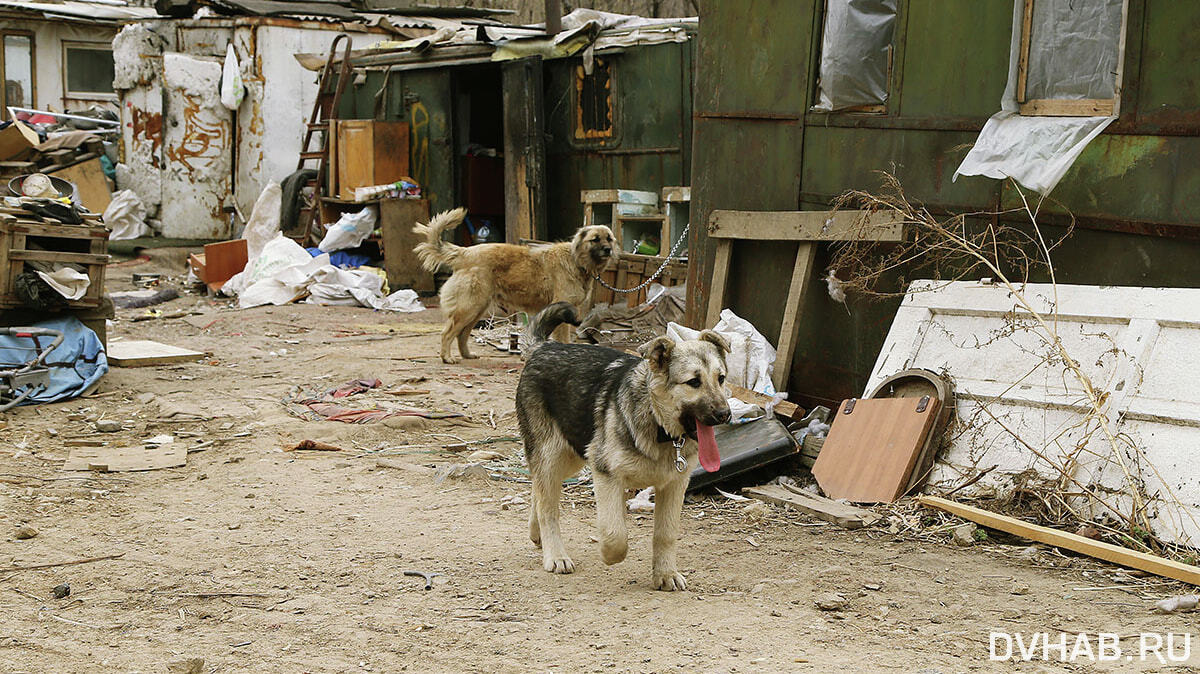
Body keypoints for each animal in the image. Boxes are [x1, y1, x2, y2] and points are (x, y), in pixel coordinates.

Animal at [412, 207, 619, 362]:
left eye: (609, 238)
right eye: (595, 239)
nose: (608, 250)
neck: (576, 261)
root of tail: (465, 252)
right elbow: (563, 338)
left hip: (477, 309)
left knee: (462, 334)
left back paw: (467, 355)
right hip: (469, 307)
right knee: (447, 333)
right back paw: (447, 357)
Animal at [516, 298, 729, 587]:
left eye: (721, 379)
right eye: (694, 382)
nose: (725, 414)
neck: (658, 423)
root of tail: (544, 347)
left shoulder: (674, 485)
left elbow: (666, 533)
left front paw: (665, 573)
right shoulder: (606, 474)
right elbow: (615, 532)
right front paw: (609, 555)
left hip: (571, 455)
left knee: (539, 491)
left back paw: (536, 533)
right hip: (553, 453)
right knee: (547, 505)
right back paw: (556, 555)